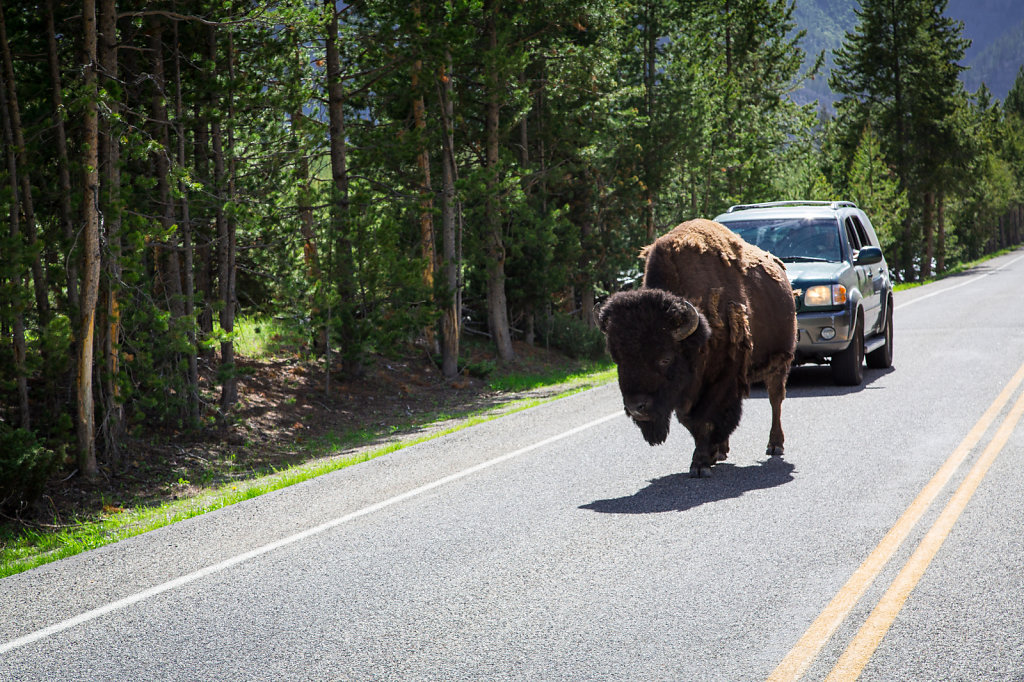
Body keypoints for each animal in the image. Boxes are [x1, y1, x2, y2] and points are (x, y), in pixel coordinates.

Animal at [598, 220, 794, 475]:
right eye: (617, 359)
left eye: (665, 358)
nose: (635, 407)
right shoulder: (687, 392)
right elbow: (691, 421)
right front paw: (707, 456)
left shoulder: (722, 377)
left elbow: (705, 418)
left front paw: (700, 464)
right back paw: (721, 450)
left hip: (780, 361)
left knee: (775, 399)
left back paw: (775, 445)